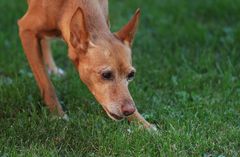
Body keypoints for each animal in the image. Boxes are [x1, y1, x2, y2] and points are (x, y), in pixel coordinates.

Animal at [17, 0, 155, 130]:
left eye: (131, 75)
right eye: (106, 75)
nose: (129, 111)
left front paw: (144, 124)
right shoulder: (26, 30)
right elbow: (47, 84)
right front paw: (58, 115)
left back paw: (52, 68)